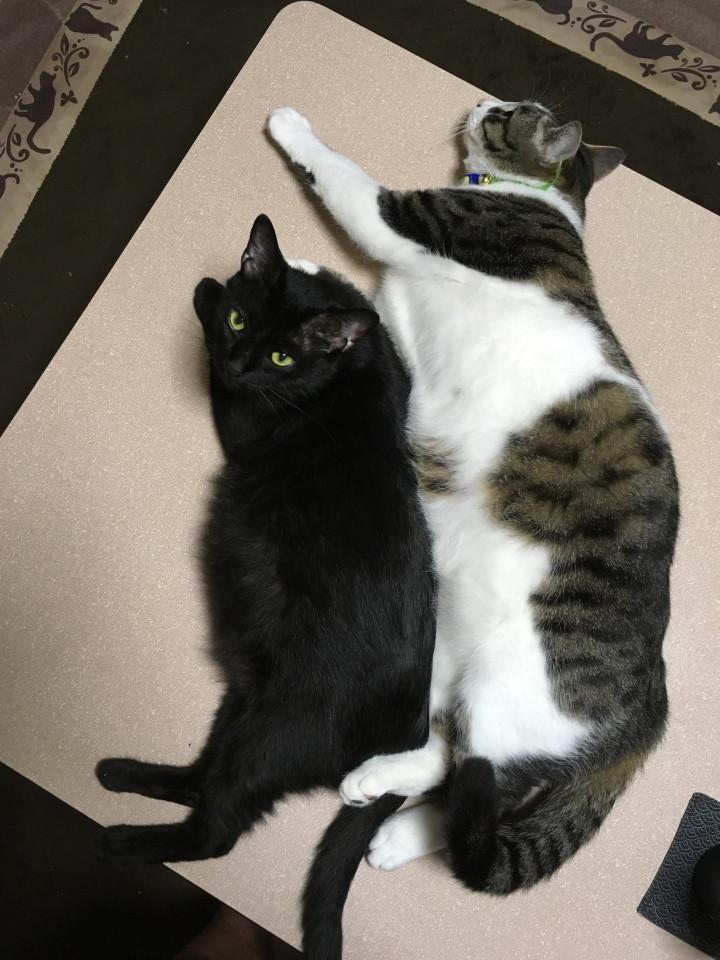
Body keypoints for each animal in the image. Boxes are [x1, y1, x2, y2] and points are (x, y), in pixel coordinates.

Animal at [95, 214, 436, 960]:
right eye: (241, 321)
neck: (341, 380)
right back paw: (121, 773)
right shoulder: (393, 372)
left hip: (272, 734)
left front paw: (205, 288)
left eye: (281, 359)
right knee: (201, 781)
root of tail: (411, 729)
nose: (241, 360)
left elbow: (218, 380)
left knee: (216, 833)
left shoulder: (244, 418)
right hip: (243, 705)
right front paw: (257, 278)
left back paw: (123, 840)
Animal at [268, 99, 678, 911]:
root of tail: (653, 700)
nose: (483, 102)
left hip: (508, 696)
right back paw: (376, 793)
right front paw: (305, 275)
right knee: (444, 756)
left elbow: (340, 177)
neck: (540, 200)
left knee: (479, 781)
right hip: (447, 648)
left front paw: (291, 127)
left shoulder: (405, 219)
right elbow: (360, 299)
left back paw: (394, 832)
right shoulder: (396, 313)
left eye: (516, 113)